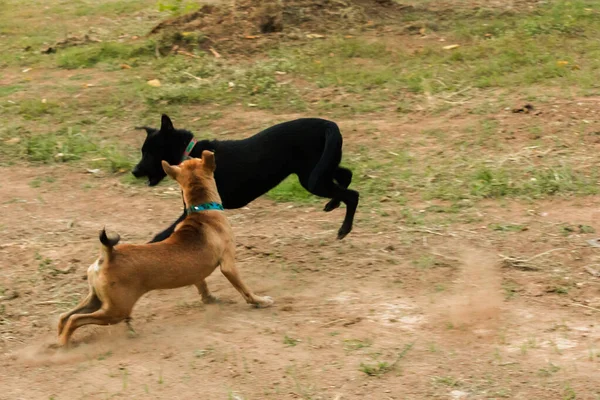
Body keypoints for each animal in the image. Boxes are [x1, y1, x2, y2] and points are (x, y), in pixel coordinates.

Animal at [57, 151, 274, 346]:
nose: (187, 155)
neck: (202, 211)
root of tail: (109, 255)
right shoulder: (228, 265)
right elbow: (244, 289)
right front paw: (260, 301)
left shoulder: (197, 274)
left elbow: (202, 286)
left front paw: (210, 300)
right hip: (116, 310)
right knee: (75, 319)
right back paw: (65, 344)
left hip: (96, 299)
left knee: (64, 316)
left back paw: (59, 338)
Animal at [134, 114, 358, 242]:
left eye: (149, 153)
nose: (134, 171)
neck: (189, 154)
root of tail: (328, 124)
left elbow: (165, 233)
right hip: (320, 169)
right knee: (347, 175)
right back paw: (333, 204)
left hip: (312, 178)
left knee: (353, 194)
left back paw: (344, 229)